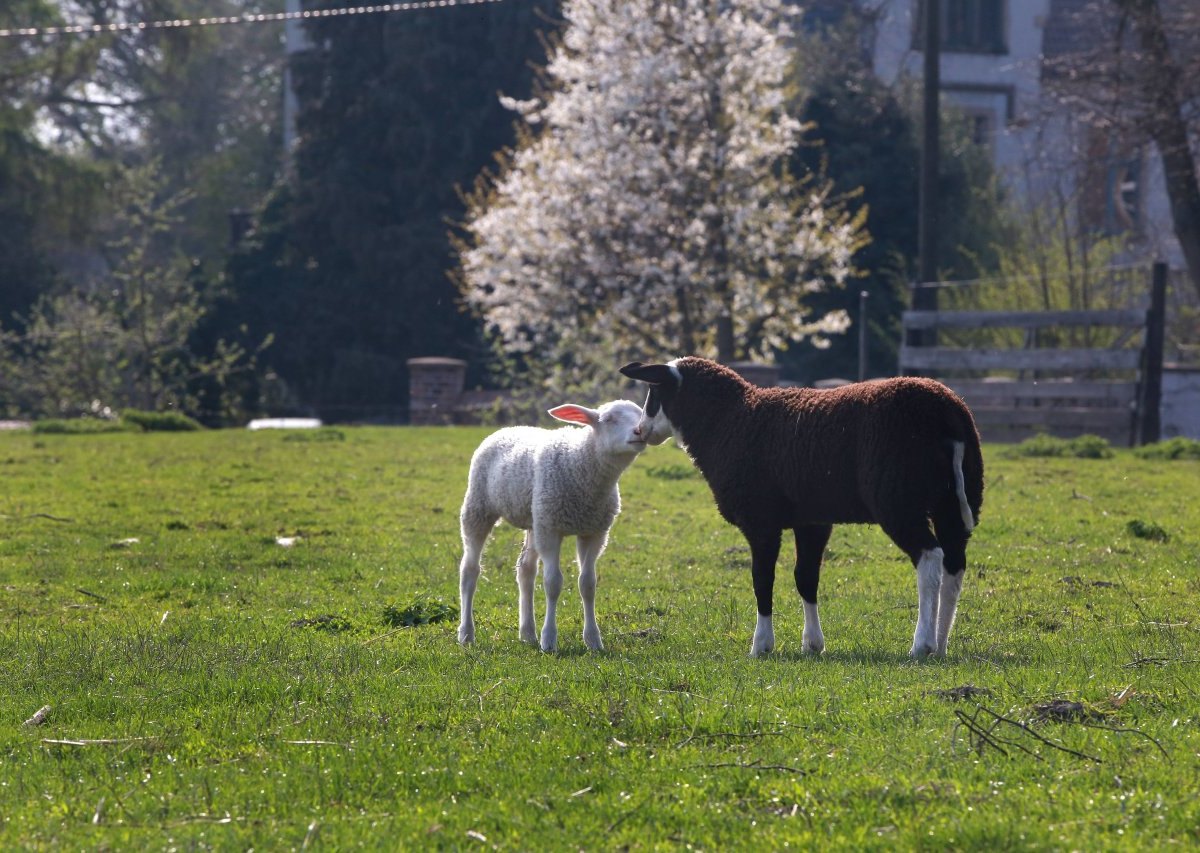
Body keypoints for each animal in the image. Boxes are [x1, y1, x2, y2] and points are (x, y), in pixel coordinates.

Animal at [456, 400, 648, 652]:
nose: (640, 432)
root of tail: (508, 428)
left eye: (642, 415)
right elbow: (553, 583)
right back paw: (467, 634)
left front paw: (593, 640)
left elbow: (588, 584)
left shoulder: (594, 531)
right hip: (479, 507)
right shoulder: (551, 529)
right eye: (608, 419)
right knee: (470, 570)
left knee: (525, 570)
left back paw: (527, 633)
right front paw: (549, 640)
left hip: (535, 517)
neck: (580, 463)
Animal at [619, 357, 984, 657]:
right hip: (955, 499)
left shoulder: (760, 519)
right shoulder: (812, 519)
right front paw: (812, 644)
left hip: (899, 499)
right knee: (954, 564)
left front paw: (762, 645)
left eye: (654, 395)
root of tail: (946, 411)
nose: (639, 430)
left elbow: (762, 578)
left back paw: (922, 644)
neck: (728, 422)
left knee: (930, 558)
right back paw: (941, 643)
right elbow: (805, 577)